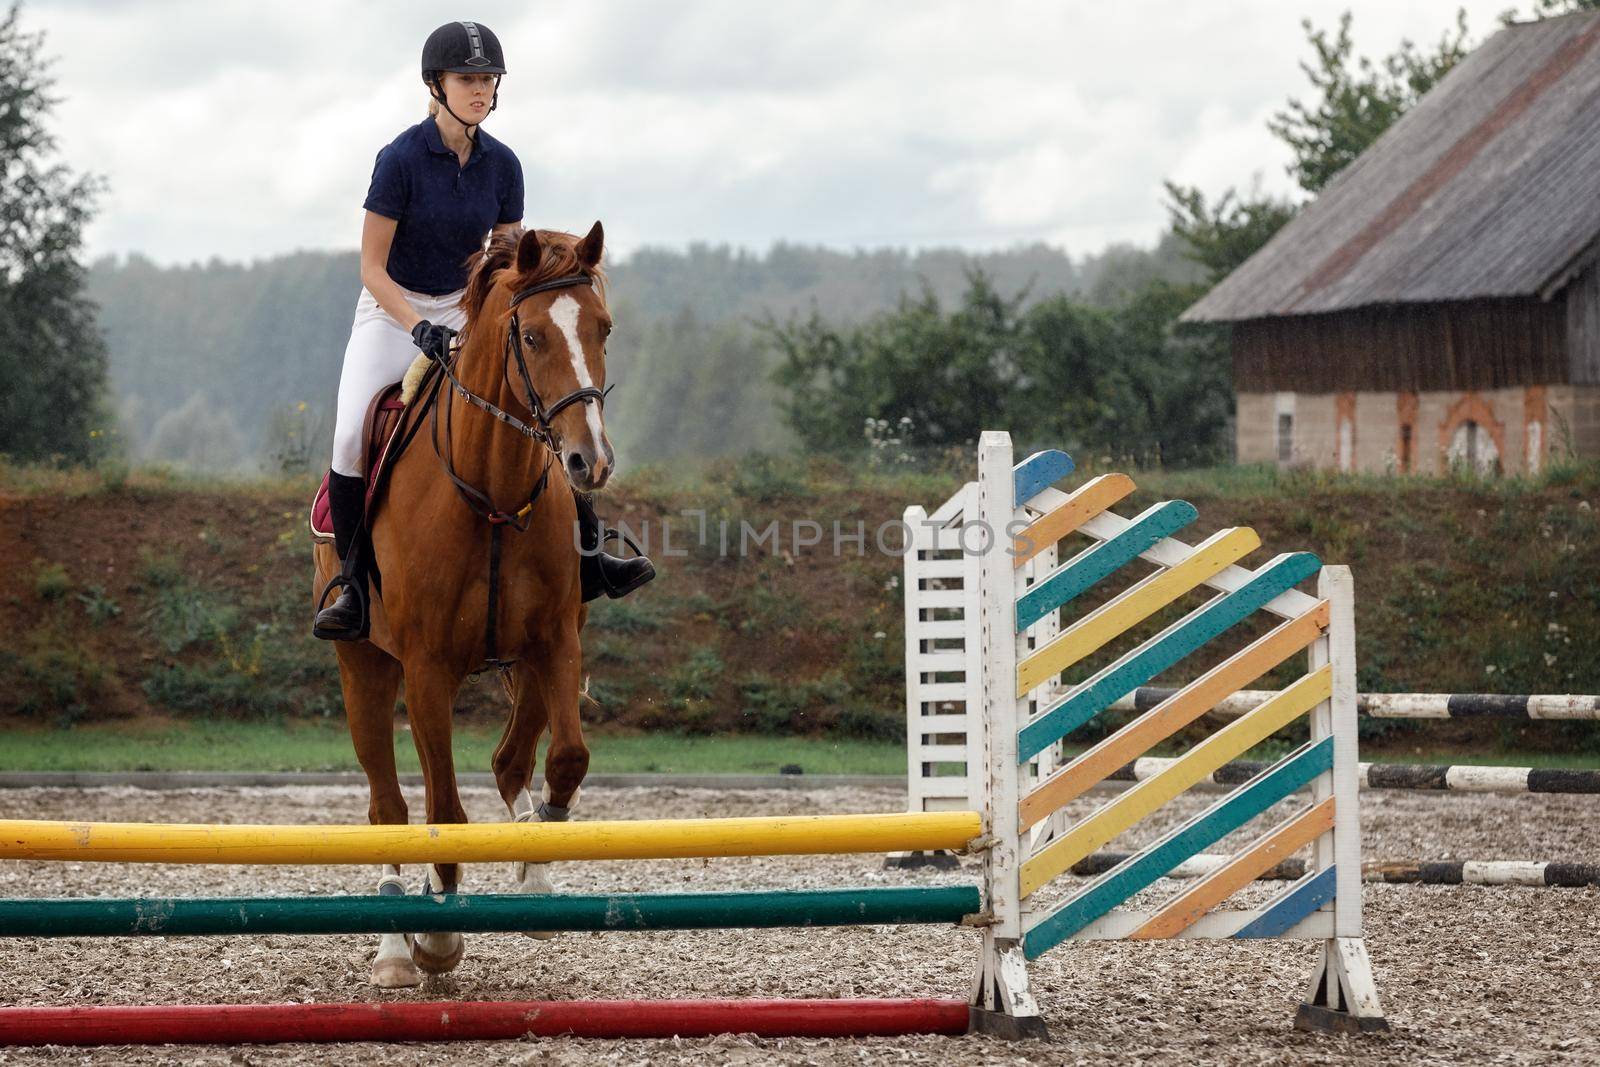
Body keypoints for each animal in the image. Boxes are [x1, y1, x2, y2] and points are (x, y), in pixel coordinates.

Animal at [312, 220, 611, 991]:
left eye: (602, 327)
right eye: (532, 336)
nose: (590, 462)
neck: (494, 491)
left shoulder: (556, 643)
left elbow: (565, 757)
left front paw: (539, 857)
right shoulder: (426, 671)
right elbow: (443, 806)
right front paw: (439, 934)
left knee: (510, 759)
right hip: (363, 667)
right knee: (388, 806)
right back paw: (396, 947)